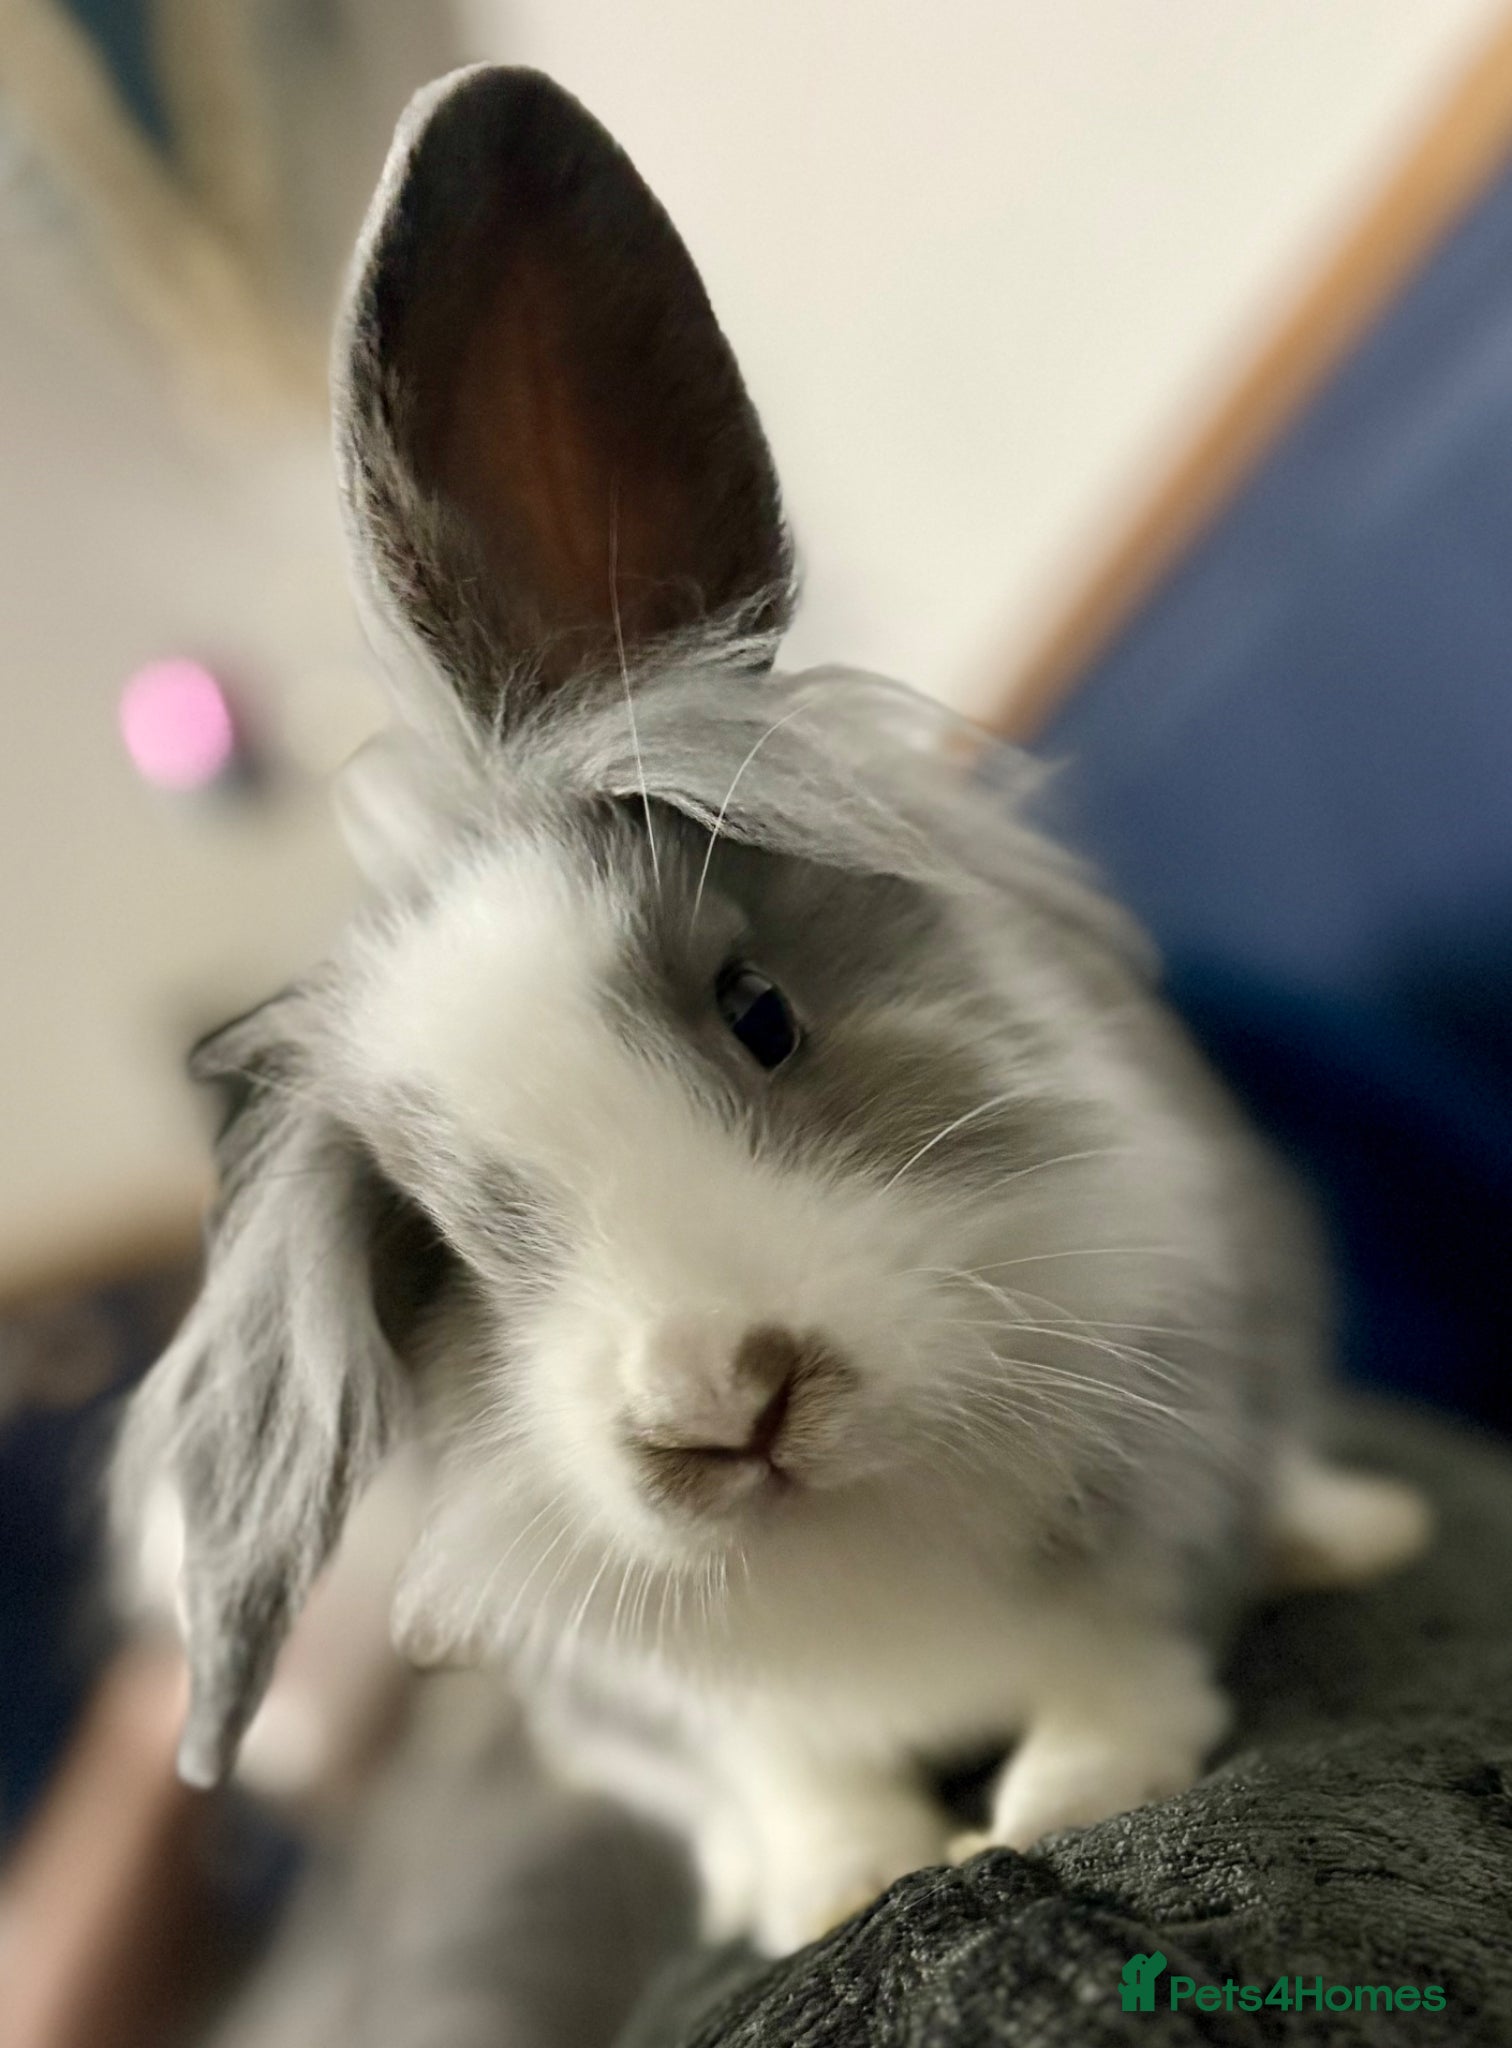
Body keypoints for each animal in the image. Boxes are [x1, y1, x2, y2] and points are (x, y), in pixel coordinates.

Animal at [114, 64, 1431, 1961]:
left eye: (761, 1014)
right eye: (434, 1254)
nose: (722, 1395)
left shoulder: (1173, 1415)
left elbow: (1114, 1661)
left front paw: (1071, 1796)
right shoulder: (671, 1700)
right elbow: (790, 1769)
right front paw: (837, 1883)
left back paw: (1356, 1533)